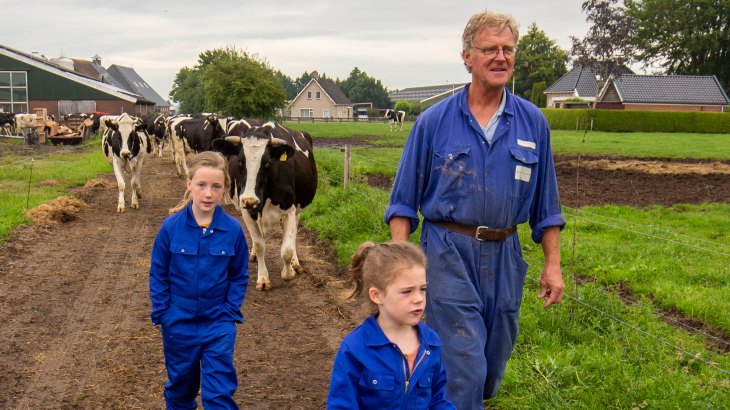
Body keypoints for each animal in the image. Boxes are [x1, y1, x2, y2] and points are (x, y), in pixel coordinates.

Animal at [209, 121, 314, 292]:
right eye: (240, 162)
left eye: (267, 163)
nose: (250, 200)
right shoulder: (247, 212)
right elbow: (259, 245)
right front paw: (263, 279)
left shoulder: (290, 211)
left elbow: (287, 249)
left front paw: (288, 273)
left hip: (298, 209)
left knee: (293, 236)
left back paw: (295, 263)